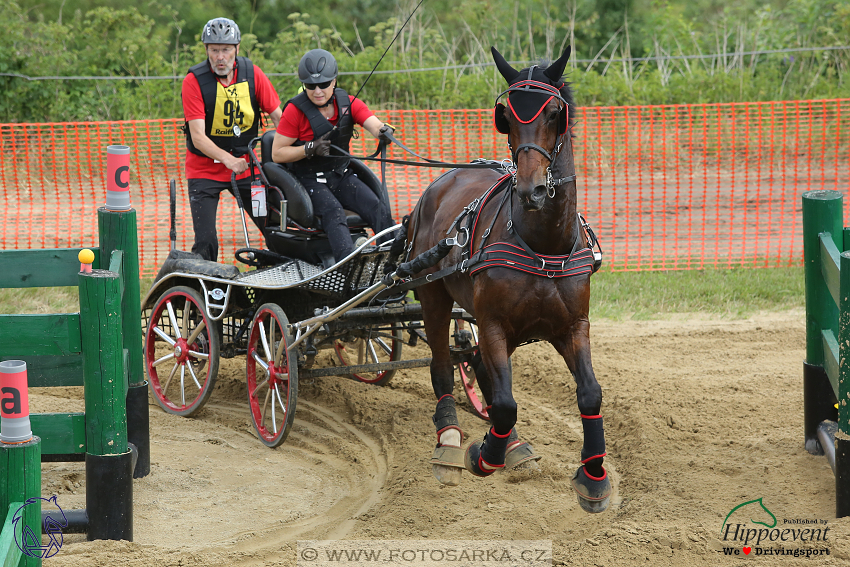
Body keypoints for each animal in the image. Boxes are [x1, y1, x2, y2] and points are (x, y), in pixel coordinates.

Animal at [406, 45, 608, 516]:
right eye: (507, 117)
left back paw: (512, 446)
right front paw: (483, 456)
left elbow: (589, 394)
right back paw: (449, 441)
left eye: (555, 113)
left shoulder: (573, 326)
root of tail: (440, 182)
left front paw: (593, 477)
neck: (544, 245)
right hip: (434, 295)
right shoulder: (495, 324)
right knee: (443, 367)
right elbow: (504, 402)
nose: (532, 190)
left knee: (480, 366)